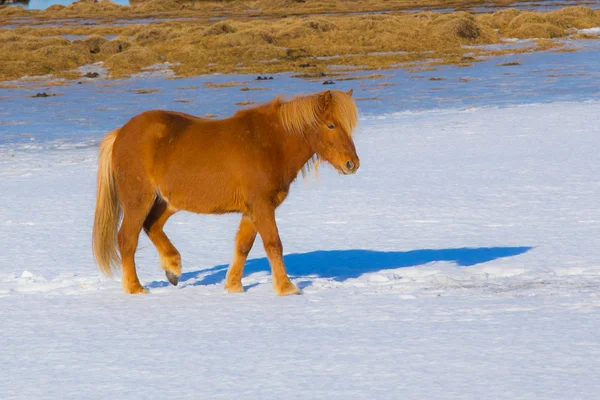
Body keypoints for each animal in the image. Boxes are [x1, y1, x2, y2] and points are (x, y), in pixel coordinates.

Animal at [91, 89, 358, 296]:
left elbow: (243, 246)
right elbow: (273, 244)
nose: (351, 164)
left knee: (152, 225)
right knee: (127, 238)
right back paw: (135, 288)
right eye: (330, 125)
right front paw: (287, 288)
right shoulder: (262, 205)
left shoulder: (253, 210)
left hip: (168, 202)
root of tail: (121, 133)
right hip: (138, 200)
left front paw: (233, 286)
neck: (271, 143)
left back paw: (173, 267)